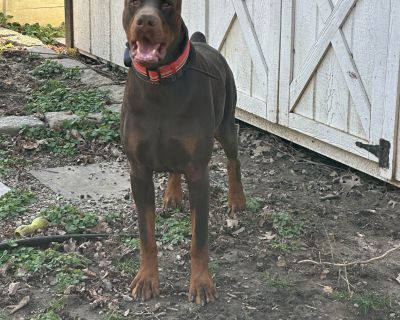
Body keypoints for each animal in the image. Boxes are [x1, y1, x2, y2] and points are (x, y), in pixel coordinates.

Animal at [122, 0, 245, 304]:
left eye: (167, 5)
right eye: (132, 3)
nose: (145, 21)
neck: (159, 84)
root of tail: (204, 42)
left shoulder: (199, 172)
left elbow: (199, 238)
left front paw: (201, 284)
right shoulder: (138, 171)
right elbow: (146, 235)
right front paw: (146, 280)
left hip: (224, 126)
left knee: (233, 158)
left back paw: (237, 198)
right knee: (174, 168)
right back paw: (173, 194)